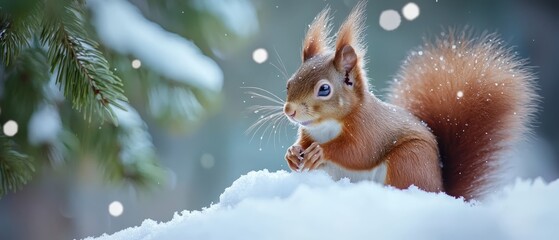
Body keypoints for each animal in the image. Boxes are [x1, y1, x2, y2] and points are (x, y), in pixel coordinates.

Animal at [284, 2, 540, 200]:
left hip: (408, 160)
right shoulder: (308, 133)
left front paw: (321, 151)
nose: (289, 111)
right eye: (289, 83)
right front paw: (292, 154)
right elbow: (303, 144)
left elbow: (358, 152)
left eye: (324, 89)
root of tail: (441, 191)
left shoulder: (368, 129)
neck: (326, 125)